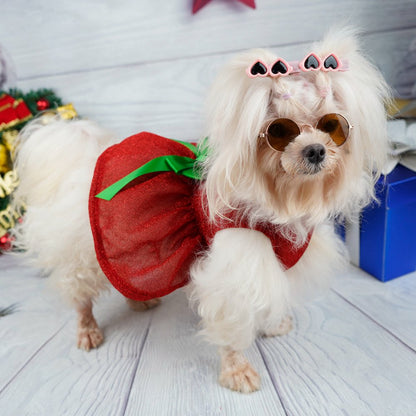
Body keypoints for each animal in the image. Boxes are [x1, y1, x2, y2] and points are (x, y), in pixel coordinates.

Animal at [12, 30, 390, 394]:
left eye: (332, 126)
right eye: (279, 131)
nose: (315, 150)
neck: (282, 199)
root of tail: (81, 157)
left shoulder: (274, 263)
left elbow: (274, 298)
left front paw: (275, 325)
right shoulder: (236, 271)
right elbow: (233, 324)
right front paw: (237, 371)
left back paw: (139, 302)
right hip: (83, 252)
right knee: (79, 292)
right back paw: (87, 329)